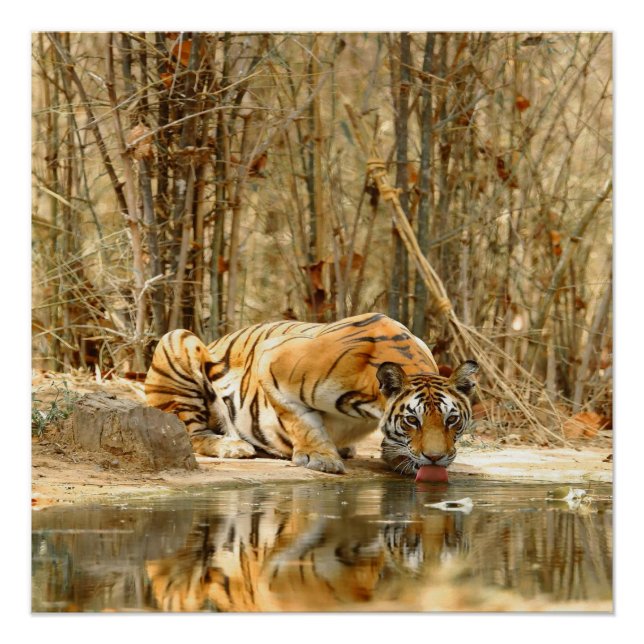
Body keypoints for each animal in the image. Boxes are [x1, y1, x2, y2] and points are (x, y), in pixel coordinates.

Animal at [144, 312, 479, 475]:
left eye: (451, 420)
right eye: (412, 421)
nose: (435, 459)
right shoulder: (271, 361)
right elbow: (301, 420)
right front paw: (320, 458)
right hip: (178, 340)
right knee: (190, 433)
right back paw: (233, 446)